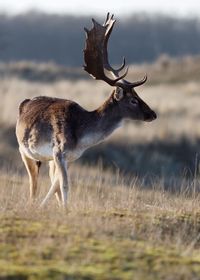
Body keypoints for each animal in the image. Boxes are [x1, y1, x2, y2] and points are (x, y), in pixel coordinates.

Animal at [15, 13, 156, 208]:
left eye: (138, 95)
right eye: (133, 100)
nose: (152, 114)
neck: (81, 137)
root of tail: (24, 103)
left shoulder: (69, 157)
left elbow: (56, 184)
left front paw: (54, 207)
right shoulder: (59, 150)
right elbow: (64, 185)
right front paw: (64, 209)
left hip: (47, 159)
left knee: (48, 179)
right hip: (23, 150)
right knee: (32, 182)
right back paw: (32, 202)